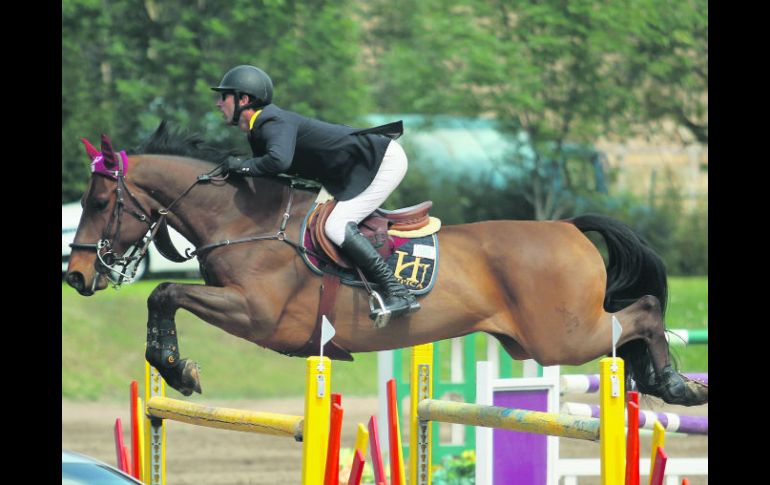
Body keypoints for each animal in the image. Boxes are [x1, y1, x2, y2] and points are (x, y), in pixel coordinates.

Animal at [67, 123, 708, 406]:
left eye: (99, 203)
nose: (76, 275)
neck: (244, 220)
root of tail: (567, 227)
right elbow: (165, 297)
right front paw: (173, 365)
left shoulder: (257, 315)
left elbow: (165, 293)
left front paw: (178, 370)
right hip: (539, 340)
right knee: (632, 322)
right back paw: (663, 382)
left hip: (562, 336)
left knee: (643, 312)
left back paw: (675, 384)